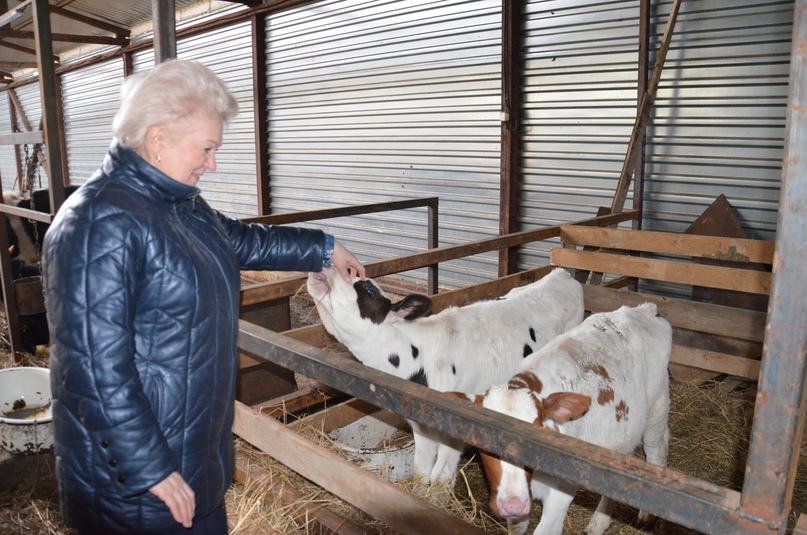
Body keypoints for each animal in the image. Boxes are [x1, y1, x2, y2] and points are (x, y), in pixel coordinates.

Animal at [306, 268, 584, 486]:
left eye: (368, 289)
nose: (326, 264)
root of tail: (563, 274)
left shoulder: (456, 426)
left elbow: (440, 476)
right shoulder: (419, 422)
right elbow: (422, 469)